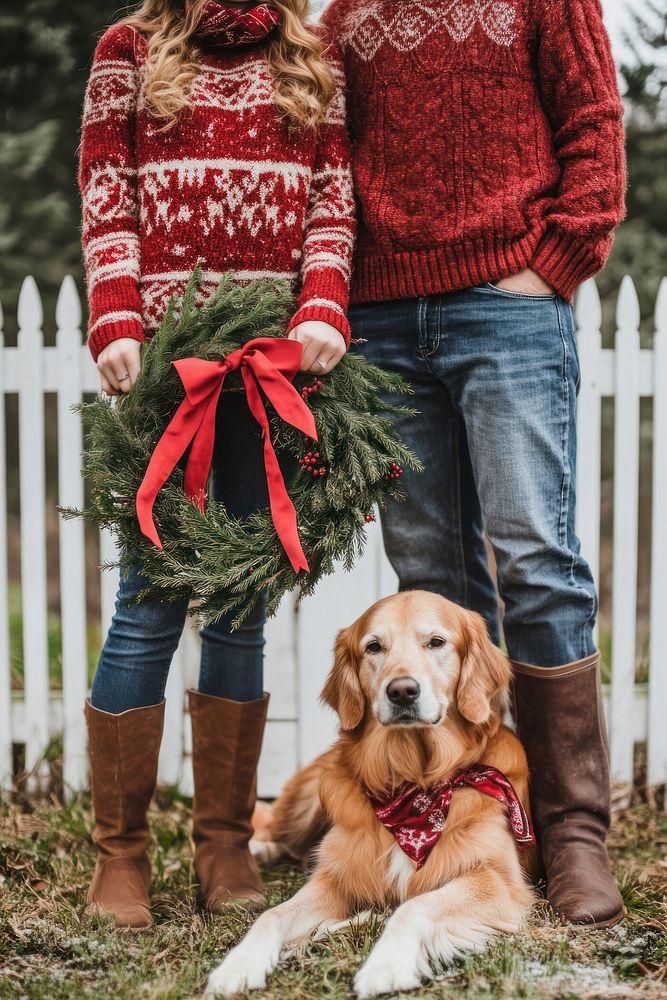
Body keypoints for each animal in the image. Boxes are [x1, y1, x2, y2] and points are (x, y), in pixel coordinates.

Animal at [206, 588, 540, 996]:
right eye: (374, 647)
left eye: (436, 642)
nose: (402, 691)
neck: (415, 787)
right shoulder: (336, 879)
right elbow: (273, 914)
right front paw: (239, 964)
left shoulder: (496, 881)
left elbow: (413, 906)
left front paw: (386, 965)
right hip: (308, 800)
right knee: (274, 824)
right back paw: (258, 849)